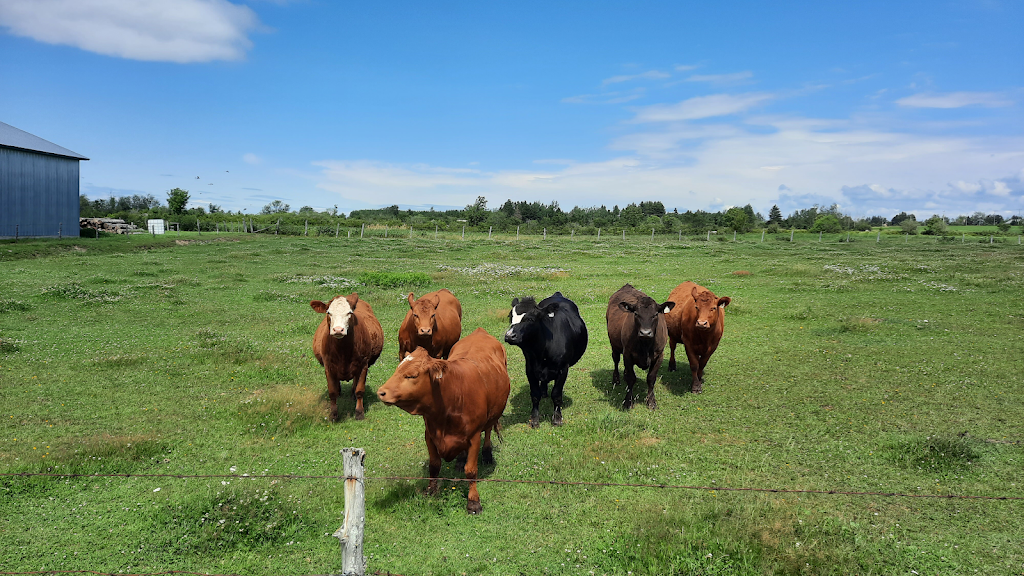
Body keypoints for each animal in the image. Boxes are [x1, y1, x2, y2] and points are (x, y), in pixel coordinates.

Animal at [378, 327, 509, 510]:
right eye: (397, 369)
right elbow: (434, 466)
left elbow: (471, 470)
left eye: (412, 375)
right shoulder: (430, 435)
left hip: (492, 414)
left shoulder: (474, 436)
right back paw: (460, 461)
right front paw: (431, 491)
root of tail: (480, 332)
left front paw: (473, 502)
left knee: (489, 430)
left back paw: (487, 454)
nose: (381, 392)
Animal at [505, 291, 589, 426]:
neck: (542, 353)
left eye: (530, 318)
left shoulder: (563, 369)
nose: (509, 336)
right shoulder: (530, 368)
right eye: (510, 317)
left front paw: (557, 418)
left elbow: (556, 394)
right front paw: (534, 418)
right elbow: (535, 394)